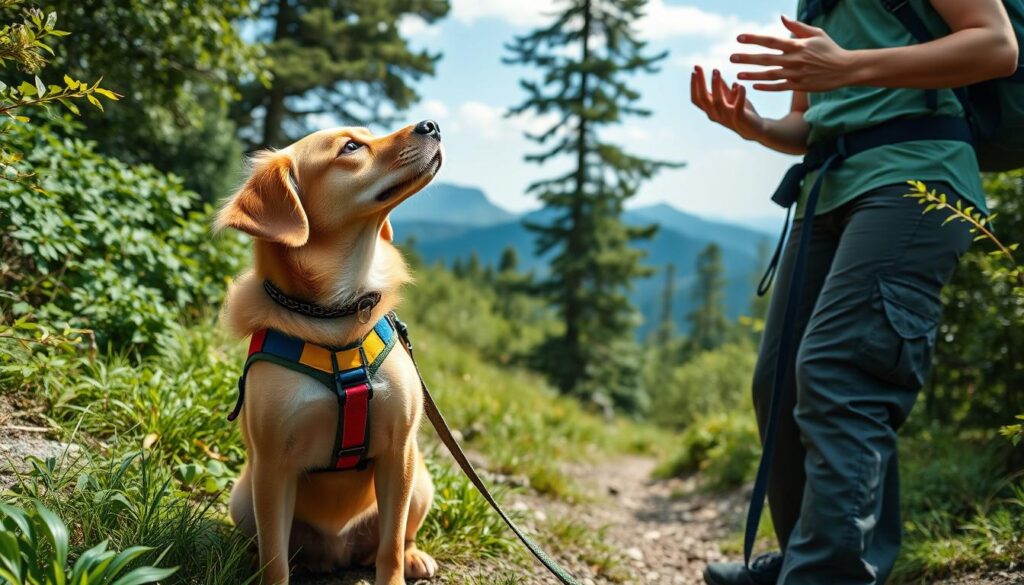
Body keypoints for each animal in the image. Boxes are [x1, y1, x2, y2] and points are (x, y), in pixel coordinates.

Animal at [216, 120, 444, 585]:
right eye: (351, 147)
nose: (431, 124)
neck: (336, 314)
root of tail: (337, 553)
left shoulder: (400, 451)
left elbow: (390, 546)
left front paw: (396, 570)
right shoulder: (272, 467)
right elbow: (275, 560)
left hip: (421, 482)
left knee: (396, 538)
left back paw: (415, 556)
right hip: (243, 496)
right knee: (271, 545)